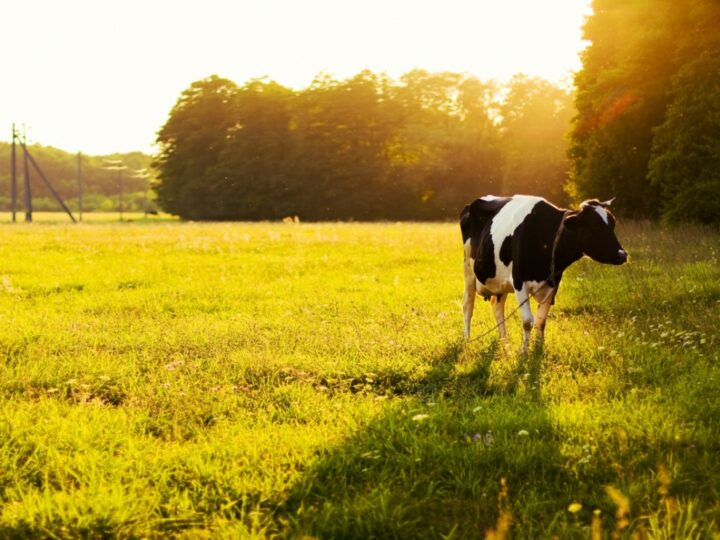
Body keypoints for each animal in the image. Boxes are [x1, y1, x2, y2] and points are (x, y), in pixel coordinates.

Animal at [462, 196, 624, 352]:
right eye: (596, 226)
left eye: (613, 224)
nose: (622, 255)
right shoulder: (518, 281)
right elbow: (528, 321)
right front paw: (524, 354)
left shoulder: (553, 283)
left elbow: (541, 321)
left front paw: (538, 350)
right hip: (468, 269)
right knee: (468, 305)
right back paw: (467, 340)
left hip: (499, 283)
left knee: (497, 308)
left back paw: (505, 344)